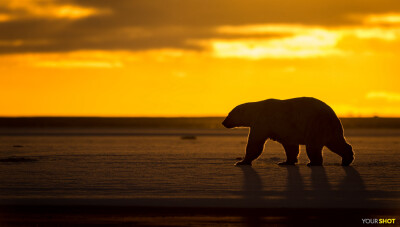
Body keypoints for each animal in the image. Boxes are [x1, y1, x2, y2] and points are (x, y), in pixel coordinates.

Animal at [223, 96, 354, 166]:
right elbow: (290, 145)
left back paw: (313, 163)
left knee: (313, 146)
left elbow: (255, 143)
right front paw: (286, 162)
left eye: (229, 114)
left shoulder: (262, 122)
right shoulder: (287, 130)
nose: (223, 122)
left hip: (316, 125)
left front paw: (241, 162)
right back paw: (347, 159)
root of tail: (333, 115)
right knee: (336, 143)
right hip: (329, 128)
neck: (256, 111)